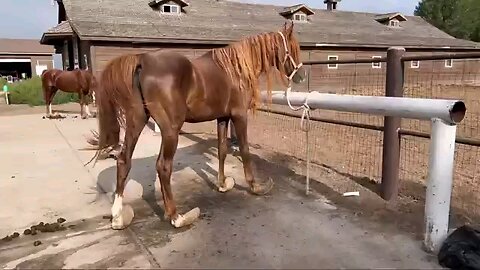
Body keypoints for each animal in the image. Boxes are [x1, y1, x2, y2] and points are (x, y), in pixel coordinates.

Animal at [86, 22, 306, 230]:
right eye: (293, 47)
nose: (301, 76)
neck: (235, 69)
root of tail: (142, 61)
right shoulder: (239, 116)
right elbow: (245, 150)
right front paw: (255, 186)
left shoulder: (222, 118)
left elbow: (222, 150)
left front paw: (222, 184)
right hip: (171, 130)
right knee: (163, 167)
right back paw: (177, 217)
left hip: (137, 121)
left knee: (124, 161)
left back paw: (118, 217)